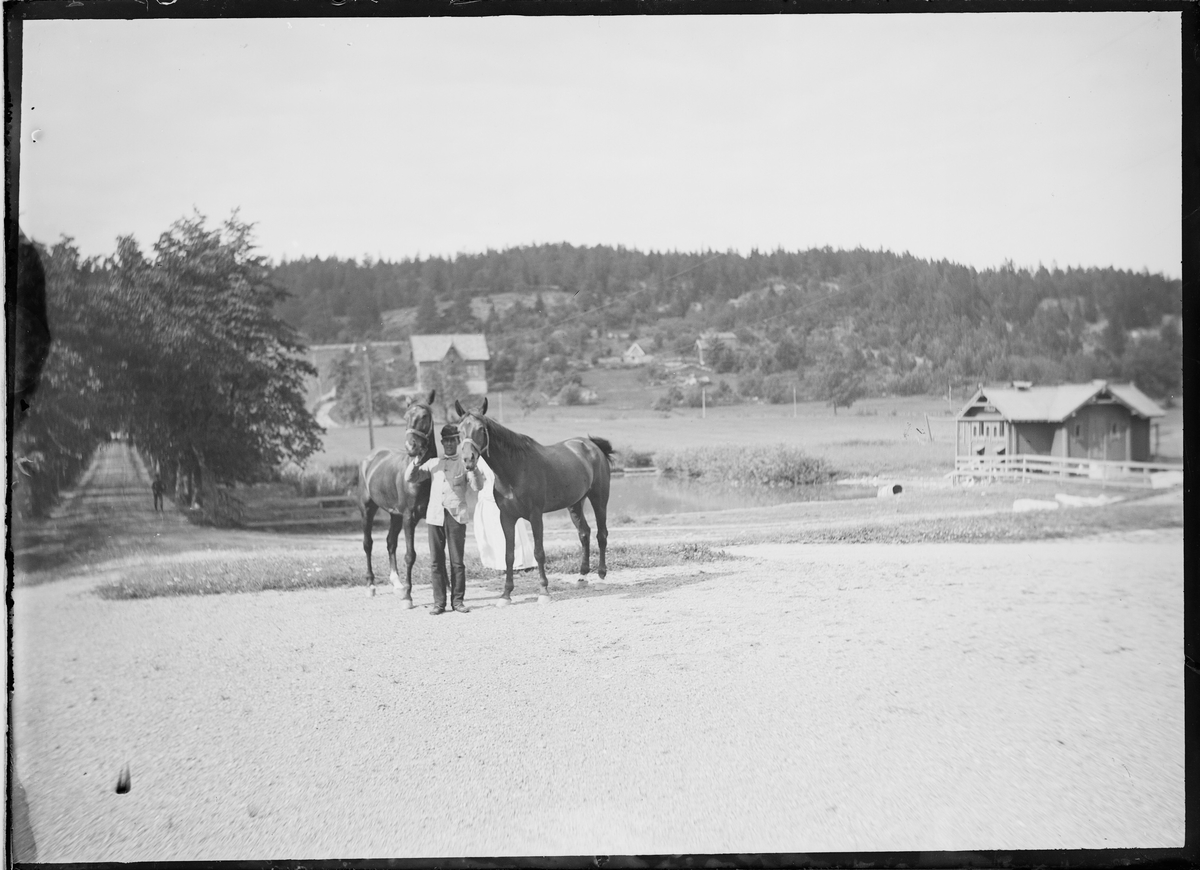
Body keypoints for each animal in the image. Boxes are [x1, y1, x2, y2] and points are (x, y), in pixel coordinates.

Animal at [352, 391, 439, 600]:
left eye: (424, 416)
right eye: (406, 416)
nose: (411, 446)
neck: (421, 474)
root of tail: (371, 458)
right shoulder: (409, 517)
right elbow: (410, 555)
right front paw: (408, 595)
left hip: (395, 515)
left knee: (390, 543)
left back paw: (397, 583)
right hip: (367, 510)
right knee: (368, 544)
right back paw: (371, 585)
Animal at [453, 396, 614, 604]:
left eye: (481, 429)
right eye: (459, 429)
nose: (468, 459)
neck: (514, 471)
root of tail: (593, 446)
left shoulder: (535, 516)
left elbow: (539, 552)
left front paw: (544, 591)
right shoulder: (506, 517)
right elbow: (509, 555)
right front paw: (506, 594)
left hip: (599, 499)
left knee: (601, 535)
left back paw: (601, 577)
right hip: (575, 504)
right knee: (584, 533)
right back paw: (582, 576)